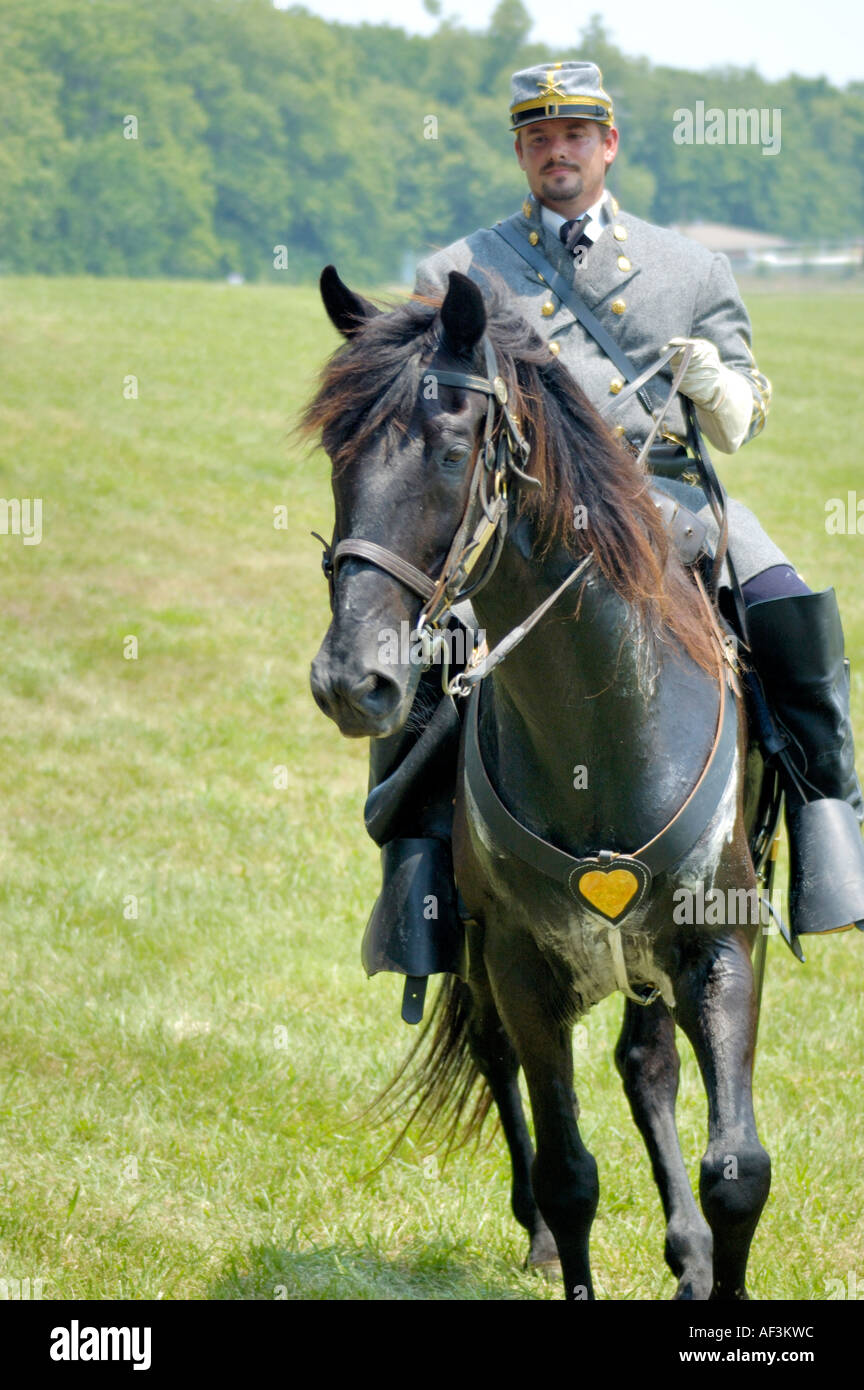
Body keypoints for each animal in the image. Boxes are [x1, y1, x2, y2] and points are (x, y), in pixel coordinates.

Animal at [304, 265, 772, 1295]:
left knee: (646, 1066)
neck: (606, 724)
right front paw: (559, 1233)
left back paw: (688, 1253)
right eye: (336, 455)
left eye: (450, 453)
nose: (352, 680)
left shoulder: (718, 947)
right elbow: (568, 1173)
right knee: (496, 1055)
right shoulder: (522, 964)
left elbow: (737, 1167)